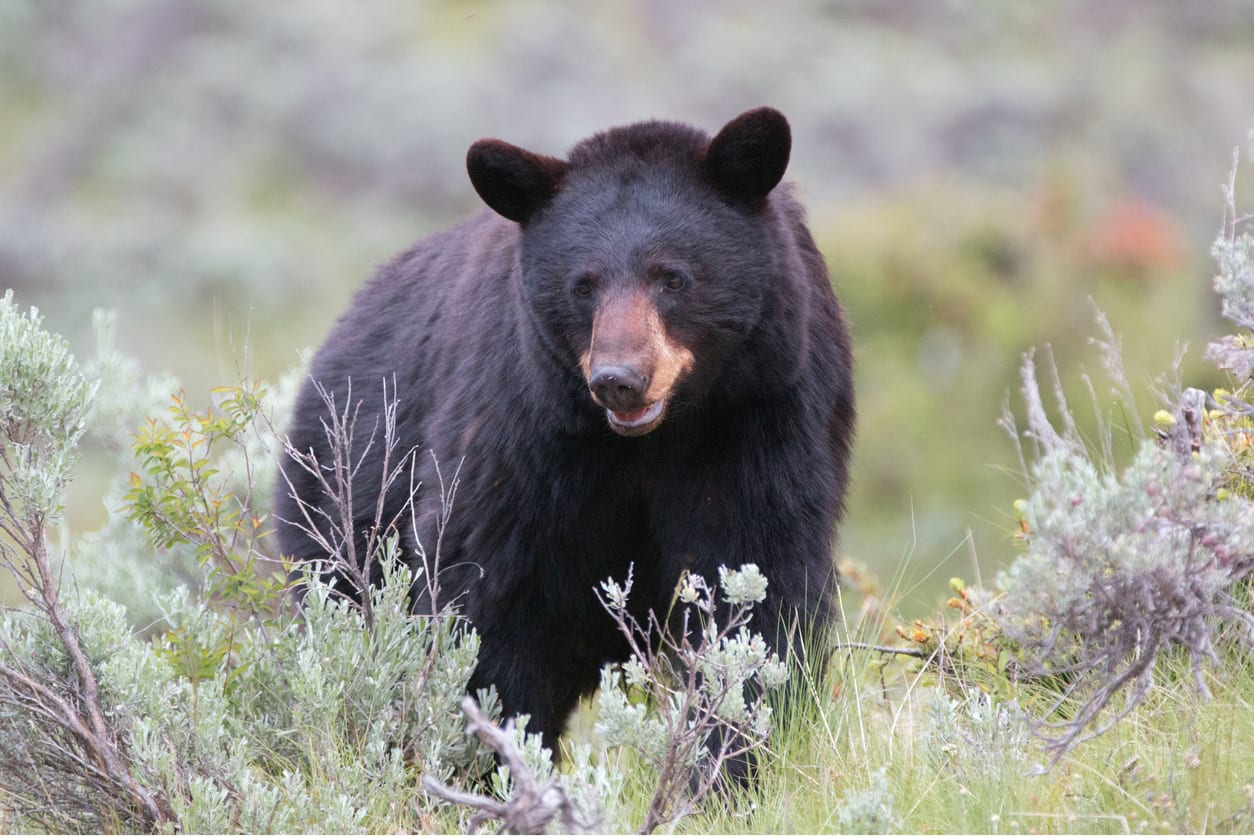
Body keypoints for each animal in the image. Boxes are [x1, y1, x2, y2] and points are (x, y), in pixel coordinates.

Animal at [274, 106, 855, 767]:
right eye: (583, 284)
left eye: (672, 278)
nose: (618, 381)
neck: (651, 441)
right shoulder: (522, 431)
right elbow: (487, 601)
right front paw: (500, 760)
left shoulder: (763, 413)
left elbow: (755, 586)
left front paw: (724, 760)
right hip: (336, 507)